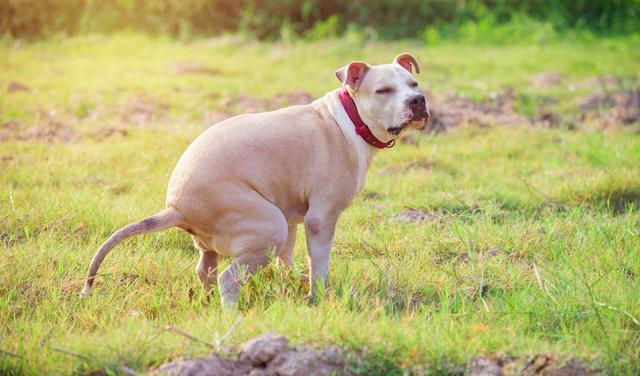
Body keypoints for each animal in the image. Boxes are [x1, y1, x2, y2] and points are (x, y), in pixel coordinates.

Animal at [80, 53, 430, 308]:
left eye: (414, 84)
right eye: (383, 90)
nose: (418, 101)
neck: (350, 119)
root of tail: (175, 207)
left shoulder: (293, 215)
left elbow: (287, 257)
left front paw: (293, 281)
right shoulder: (320, 219)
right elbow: (320, 264)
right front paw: (316, 297)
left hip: (231, 236)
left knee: (206, 270)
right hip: (268, 225)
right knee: (228, 279)